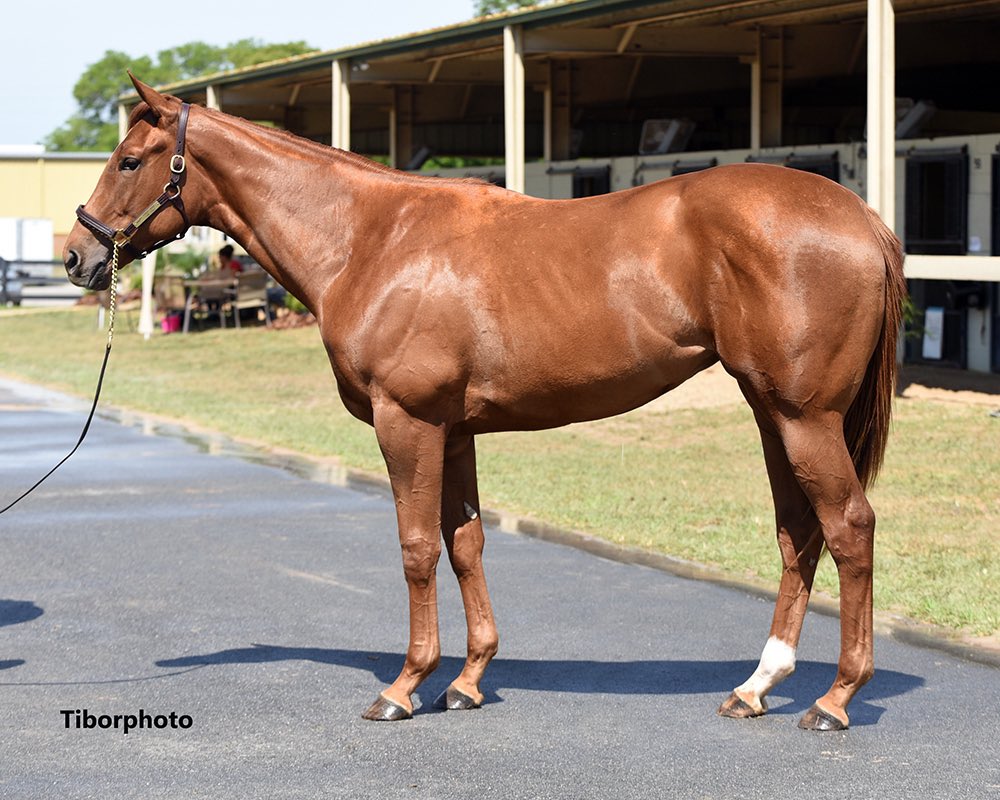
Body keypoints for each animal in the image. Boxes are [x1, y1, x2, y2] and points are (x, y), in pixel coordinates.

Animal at [64, 75, 906, 731]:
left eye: (130, 160)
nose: (76, 256)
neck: (371, 239)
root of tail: (861, 216)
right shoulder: (455, 430)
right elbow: (465, 542)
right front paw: (468, 682)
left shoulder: (407, 422)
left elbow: (416, 548)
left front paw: (405, 686)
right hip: (772, 411)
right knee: (799, 532)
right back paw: (757, 686)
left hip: (803, 418)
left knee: (849, 527)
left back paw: (834, 700)